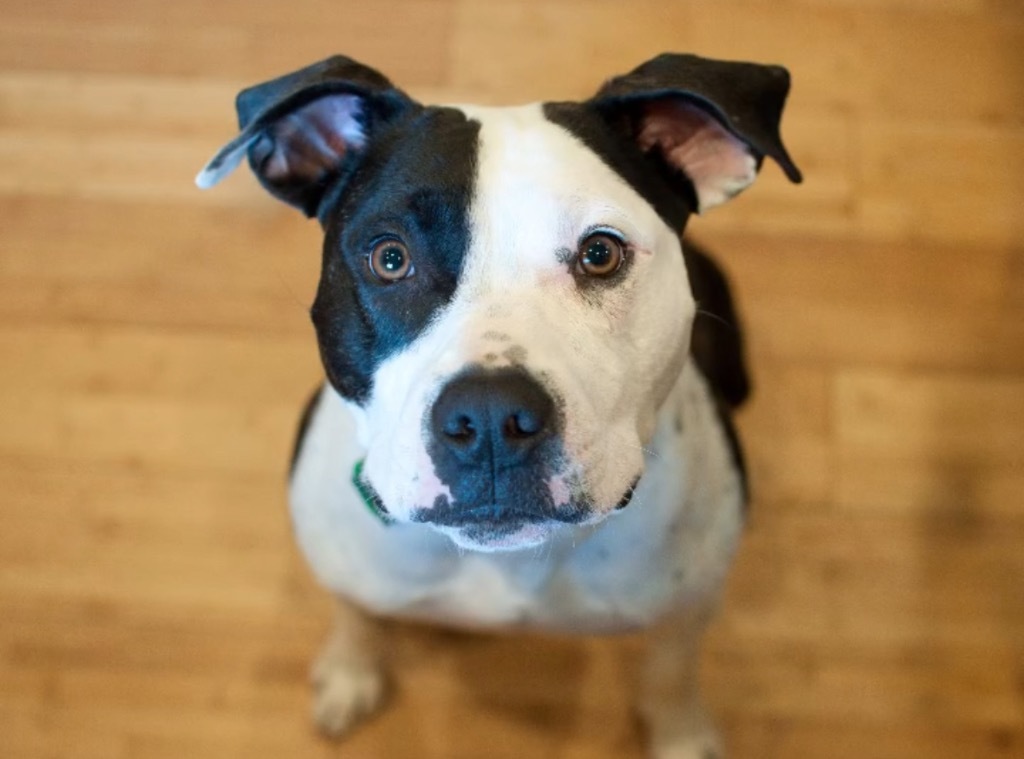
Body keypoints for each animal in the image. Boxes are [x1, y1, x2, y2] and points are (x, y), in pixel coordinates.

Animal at [193, 54, 798, 757]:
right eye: (389, 258)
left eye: (601, 253)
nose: (487, 420)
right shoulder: (348, 575)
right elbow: (358, 617)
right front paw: (350, 673)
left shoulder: (688, 605)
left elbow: (672, 671)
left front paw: (681, 735)